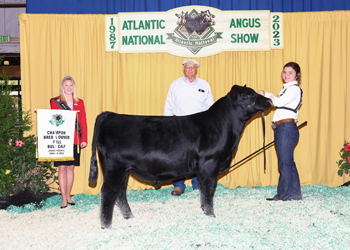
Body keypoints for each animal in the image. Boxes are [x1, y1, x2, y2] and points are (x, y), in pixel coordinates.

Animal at [89, 84, 272, 229]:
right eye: (246, 95)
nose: (269, 101)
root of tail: (110, 114)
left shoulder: (204, 168)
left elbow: (204, 190)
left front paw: (204, 211)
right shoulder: (210, 164)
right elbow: (209, 190)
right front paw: (211, 214)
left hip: (124, 170)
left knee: (120, 192)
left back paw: (129, 216)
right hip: (115, 167)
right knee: (108, 192)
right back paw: (107, 225)